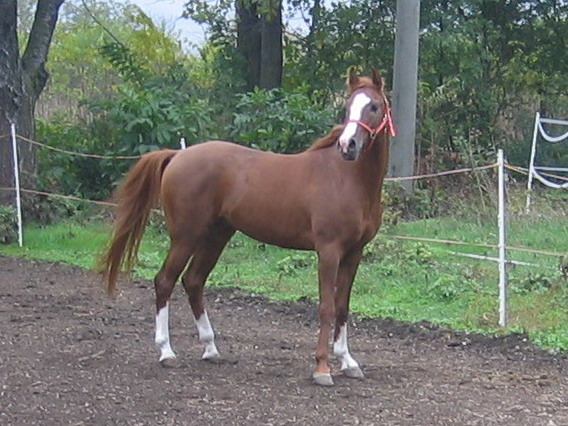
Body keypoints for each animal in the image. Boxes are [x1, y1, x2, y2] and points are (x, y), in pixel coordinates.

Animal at [100, 67, 394, 386]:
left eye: (373, 106)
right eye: (348, 106)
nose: (347, 146)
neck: (345, 178)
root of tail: (178, 155)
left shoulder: (354, 253)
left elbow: (342, 306)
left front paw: (348, 362)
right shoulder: (328, 251)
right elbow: (327, 306)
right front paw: (322, 368)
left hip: (216, 236)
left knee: (193, 281)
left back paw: (211, 349)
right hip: (186, 236)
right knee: (164, 281)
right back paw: (167, 352)